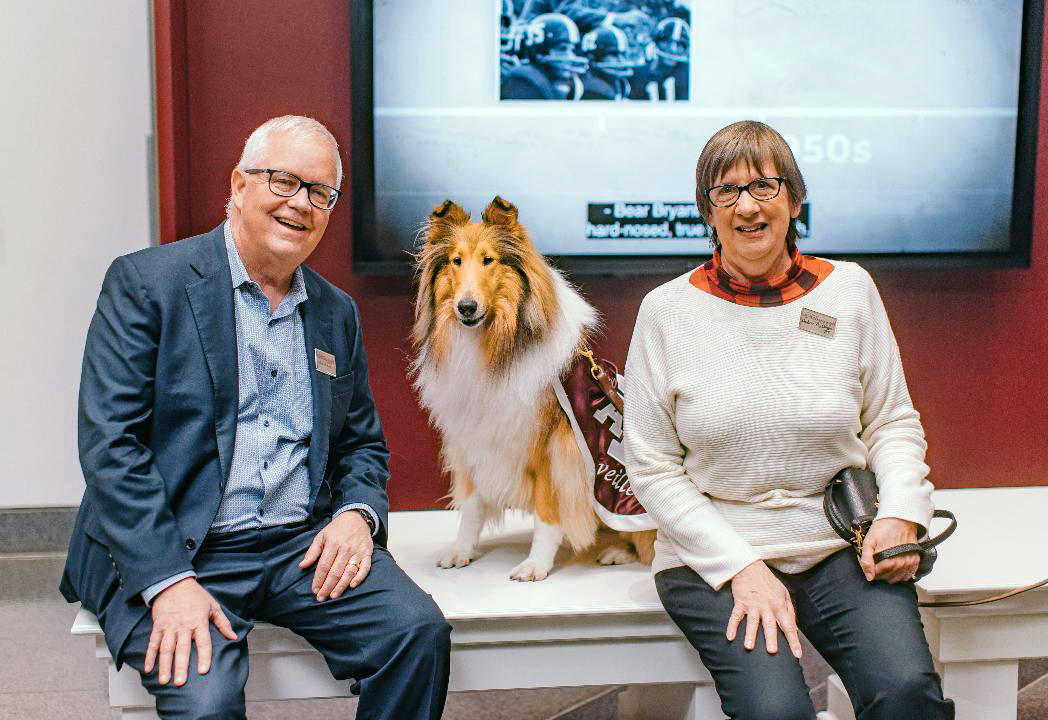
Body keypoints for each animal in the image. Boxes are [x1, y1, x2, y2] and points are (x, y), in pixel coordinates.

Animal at [410, 195, 649, 578]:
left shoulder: (551, 449)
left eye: (488, 260)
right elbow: (471, 508)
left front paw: (536, 564)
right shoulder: (472, 439)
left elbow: (547, 515)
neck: (492, 346)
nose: (466, 307)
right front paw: (461, 551)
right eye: (456, 261)